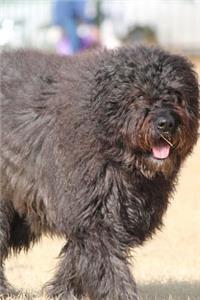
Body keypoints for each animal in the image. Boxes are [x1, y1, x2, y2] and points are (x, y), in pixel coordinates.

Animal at [0, 45, 200, 300]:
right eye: (138, 95)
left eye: (176, 94)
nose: (166, 123)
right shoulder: (95, 216)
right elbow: (108, 266)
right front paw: (122, 295)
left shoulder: (101, 216)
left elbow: (77, 259)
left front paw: (61, 291)